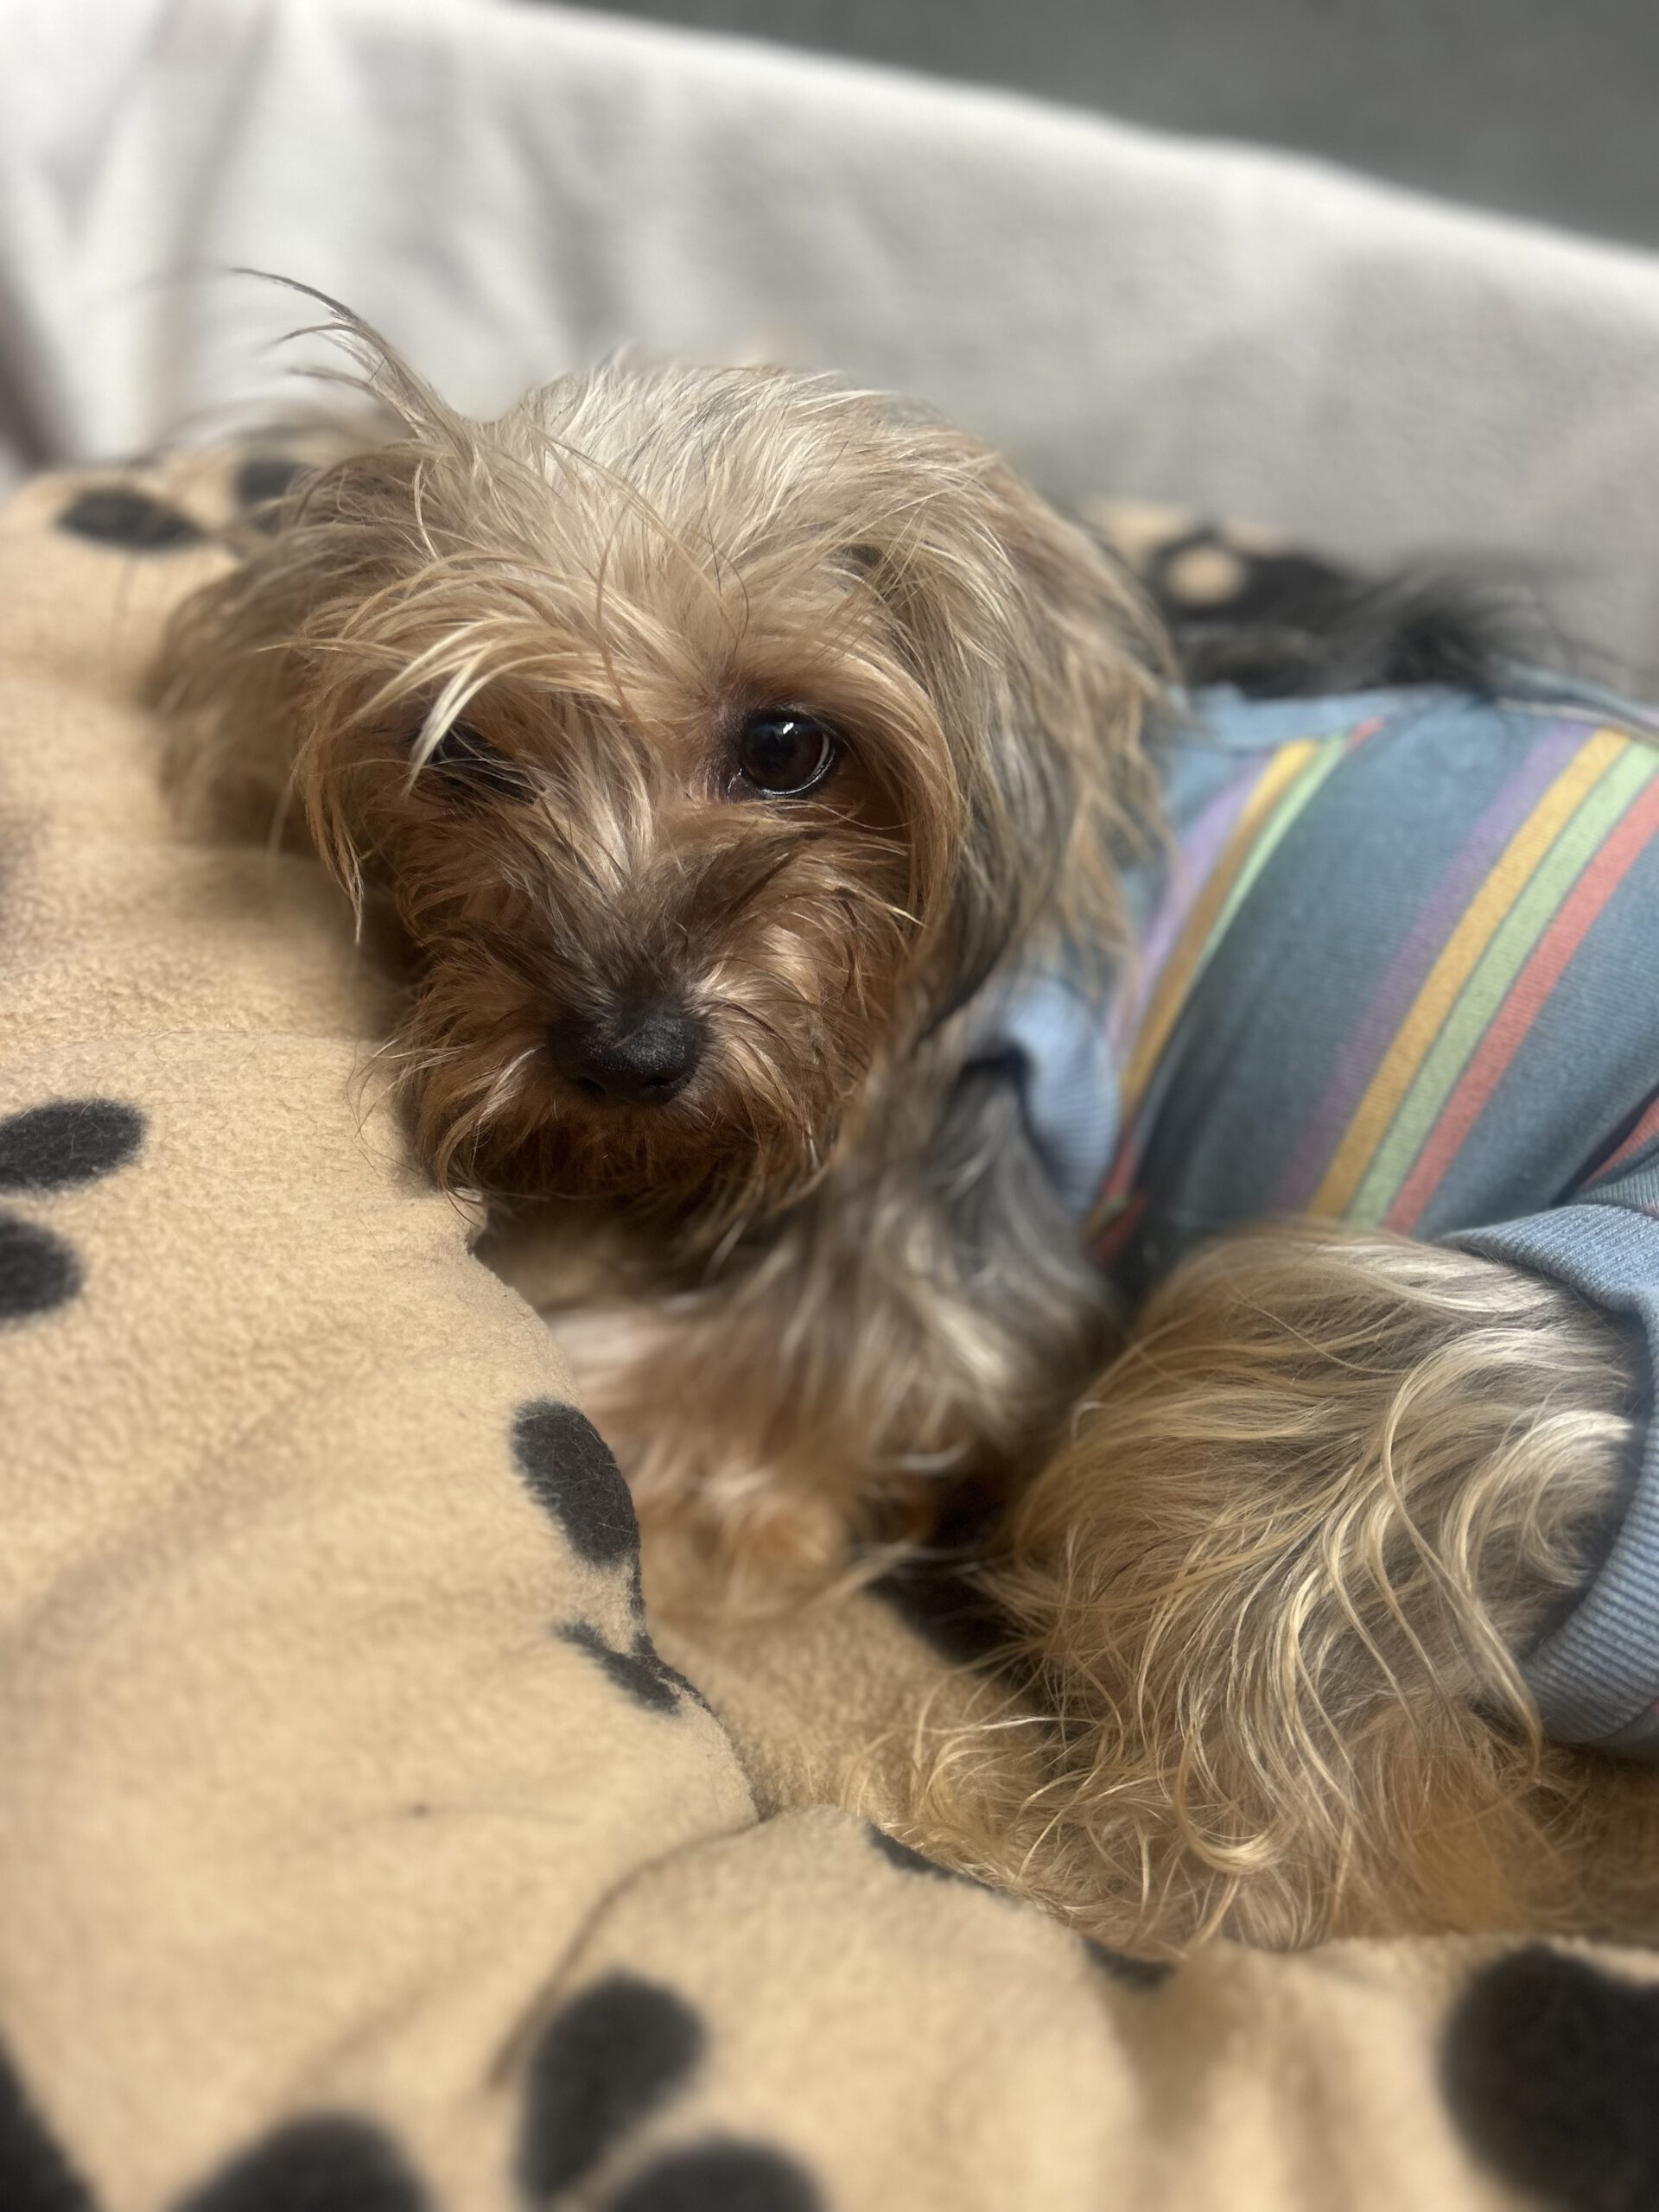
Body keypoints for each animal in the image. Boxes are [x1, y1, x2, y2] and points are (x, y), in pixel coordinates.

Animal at [160, 306, 1659, 1953]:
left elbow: (685, 1380)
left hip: (1380, 1370)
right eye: (462, 755)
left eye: (791, 744)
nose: (626, 1058)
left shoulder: (948, 1259)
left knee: (1234, 1861)